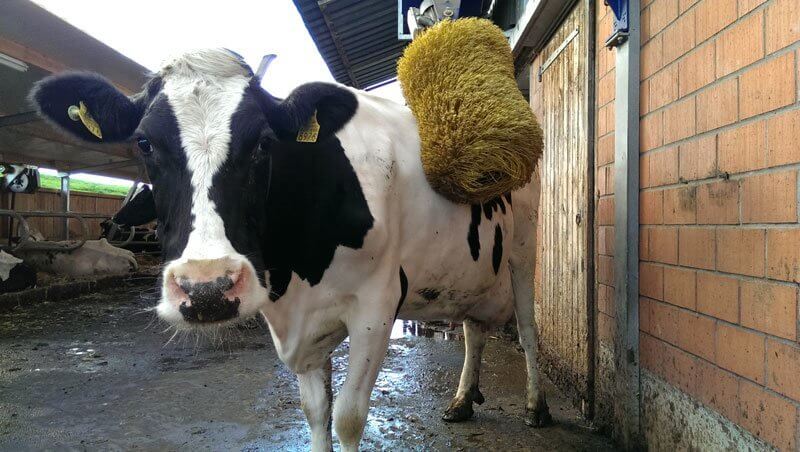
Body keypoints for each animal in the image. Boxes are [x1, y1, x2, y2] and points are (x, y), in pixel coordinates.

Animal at [30, 49, 549, 451]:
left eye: (263, 142)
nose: (207, 288)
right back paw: (462, 400)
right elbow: (316, 411)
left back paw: (536, 407)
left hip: (524, 253)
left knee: (527, 332)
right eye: (143, 142)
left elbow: (348, 418)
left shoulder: (376, 306)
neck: (294, 276)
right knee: (474, 330)